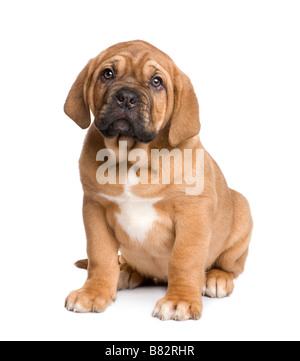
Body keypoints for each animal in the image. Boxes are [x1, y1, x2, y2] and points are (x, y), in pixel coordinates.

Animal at [63, 40, 253, 320]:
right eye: (107, 74)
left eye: (156, 82)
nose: (126, 97)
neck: (131, 159)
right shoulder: (95, 208)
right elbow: (100, 256)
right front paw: (93, 292)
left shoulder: (192, 214)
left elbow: (184, 259)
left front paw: (180, 300)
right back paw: (126, 272)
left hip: (241, 213)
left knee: (230, 266)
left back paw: (216, 278)